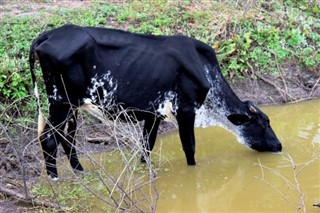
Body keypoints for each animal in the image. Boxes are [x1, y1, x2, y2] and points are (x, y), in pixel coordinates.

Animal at [28, 23, 282, 180]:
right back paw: (54, 179)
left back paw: (80, 172)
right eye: (265, 123)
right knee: (49, 138)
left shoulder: (154, 114)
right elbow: (189, 147)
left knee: (67, 138)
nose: (279, 145)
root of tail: (49, 35)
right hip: (60, 102)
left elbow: (147, 144)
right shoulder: (185, 110)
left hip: (72, 106)